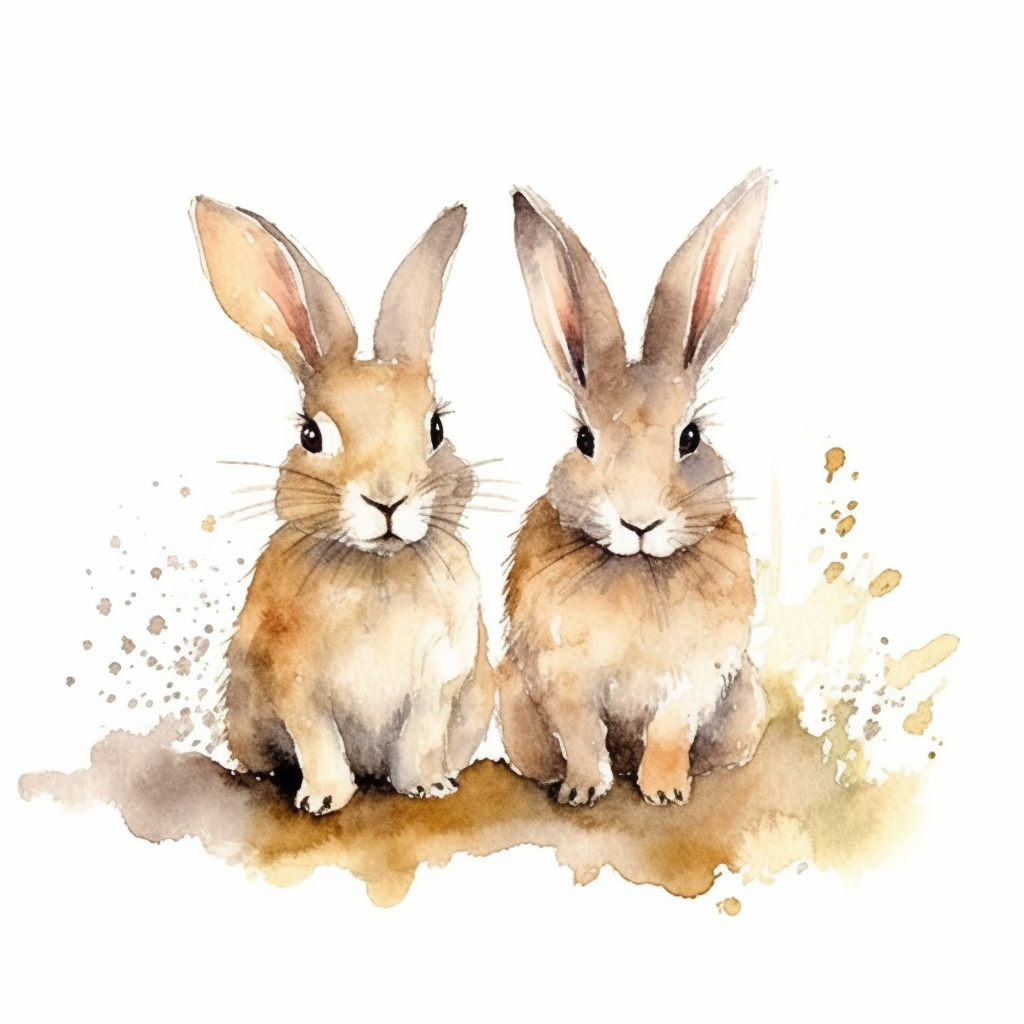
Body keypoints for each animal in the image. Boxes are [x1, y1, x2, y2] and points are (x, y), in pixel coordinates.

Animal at [190, 197, 494, 816]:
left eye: (436, 428)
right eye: (311, 436)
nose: (387, 499)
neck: (378, 570)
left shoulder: (438, 683)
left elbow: (419, 742)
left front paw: (426, 786)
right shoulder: (295, 686)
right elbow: (318, 741)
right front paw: (325, 798)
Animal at [497, 171, 770, 807]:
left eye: (691, 437)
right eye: (584, 440)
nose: (639, 523)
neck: (639, 568)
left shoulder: (698, 675)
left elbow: (670, 730)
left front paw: (665, 791)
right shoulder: (561, 677)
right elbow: (581, 734)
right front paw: (581, 790)